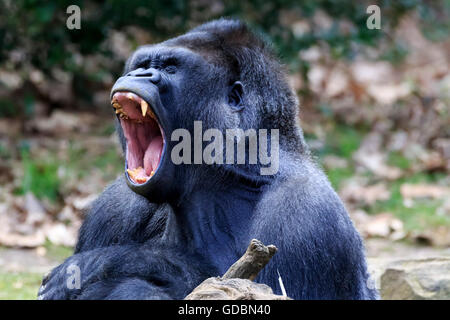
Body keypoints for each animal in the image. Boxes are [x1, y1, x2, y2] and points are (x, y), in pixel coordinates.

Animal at [38, 19, 378, 300]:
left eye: (171, 68)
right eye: (143, 64)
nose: (137, 74)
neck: (237, 174)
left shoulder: (307, 216)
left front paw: (131, 263)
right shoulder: (113, 207)